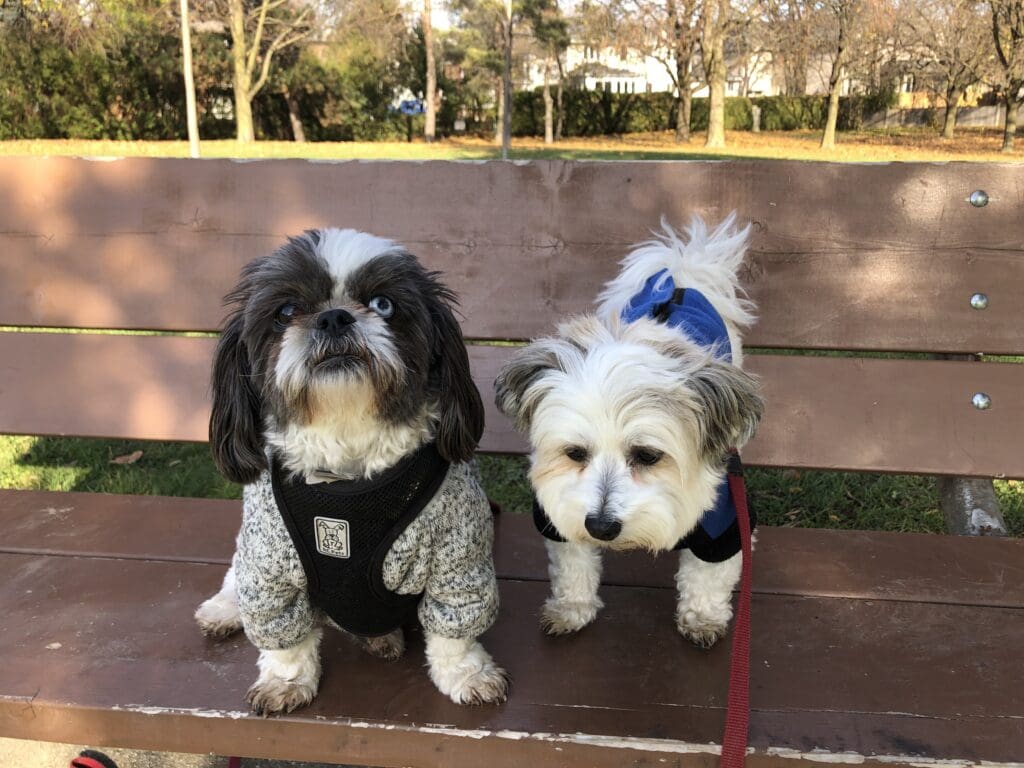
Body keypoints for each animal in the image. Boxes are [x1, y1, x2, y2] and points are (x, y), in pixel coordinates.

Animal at [495, 217, 761, 651]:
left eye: (648, 455)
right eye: (574, 453)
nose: (601, 527)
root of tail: (680, 276)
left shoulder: (722, 523)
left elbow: (708, 576)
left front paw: (702, 616)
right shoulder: (562, 511)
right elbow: (573, 564)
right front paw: (572, 608)